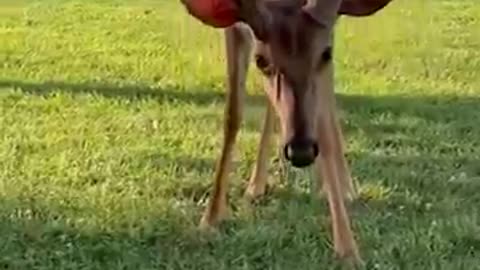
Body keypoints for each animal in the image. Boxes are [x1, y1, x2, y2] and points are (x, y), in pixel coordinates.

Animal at [178, 0, 392, 266]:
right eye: (261, 60)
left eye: (325, 53)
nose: (301, 150)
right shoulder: (236, 29)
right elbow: (233, 113)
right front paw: (210, 218)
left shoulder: (327, 34)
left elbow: (324, 121)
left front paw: (348, 249)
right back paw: (256, 186)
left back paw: (342, 187)